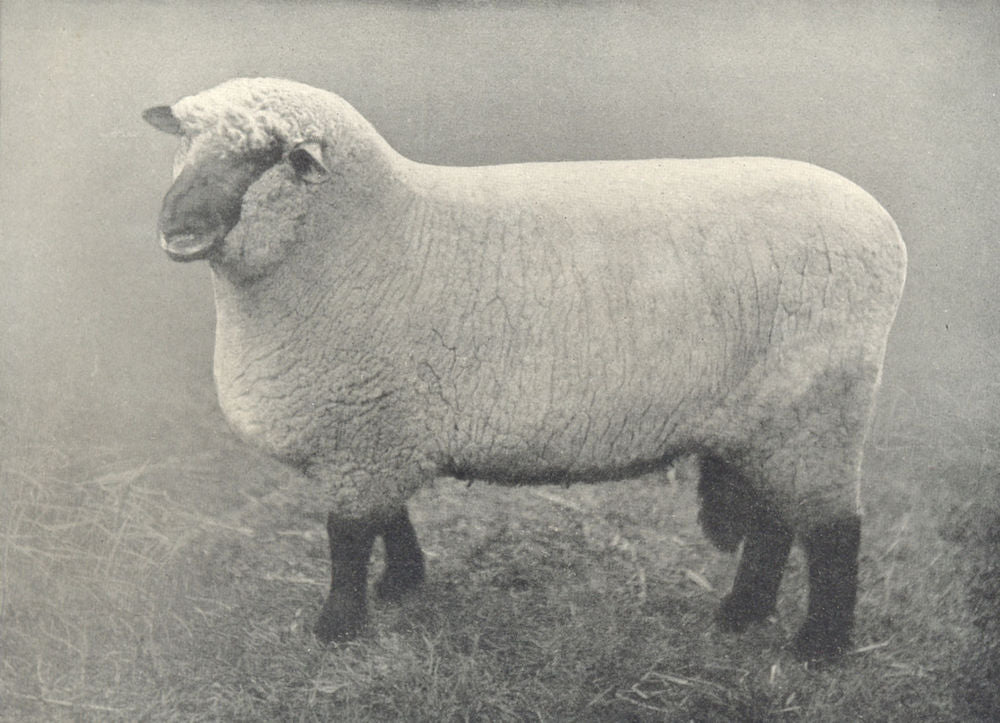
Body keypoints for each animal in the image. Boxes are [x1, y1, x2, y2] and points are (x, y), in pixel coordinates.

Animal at [143, 77, 906, 661]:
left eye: (266, 157)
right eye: (186, 140)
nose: (177, 224)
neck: (367, 232)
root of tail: (883, 227)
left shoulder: (362, 425)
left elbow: (348, 538)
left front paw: (339, 626)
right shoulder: (381, 426)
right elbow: (390, 518)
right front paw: (402, 585)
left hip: (818, 407)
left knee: (835, 532)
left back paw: (819, 648)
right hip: (768, 419)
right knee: (777, 522)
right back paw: (742, 612)